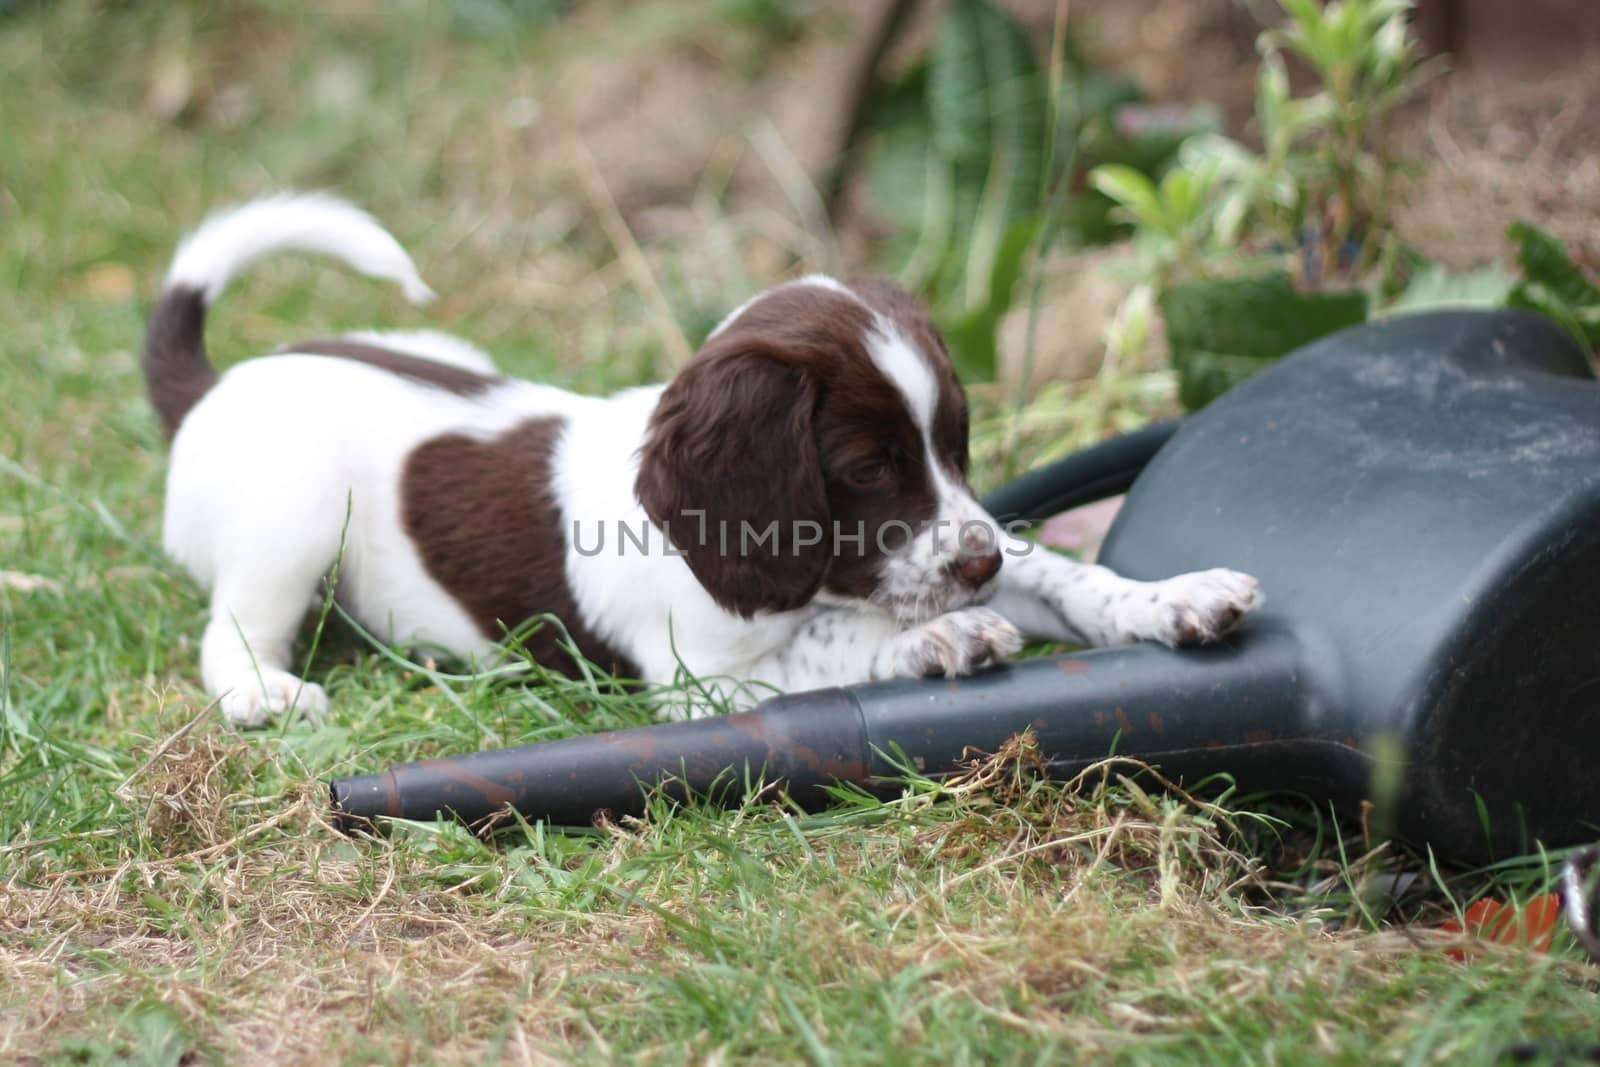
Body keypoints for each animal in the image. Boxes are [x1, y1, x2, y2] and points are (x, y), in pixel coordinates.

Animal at [144, 194, 1254, 726]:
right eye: (865, 466)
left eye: (954, 442)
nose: (976, 567)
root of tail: (216, 383)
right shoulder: (701, 682)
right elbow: (834, 649)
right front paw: (937, 640)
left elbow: (1063, 574)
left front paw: (1173, 596)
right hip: (293, 518)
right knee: (229, 631)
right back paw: (262, 691)